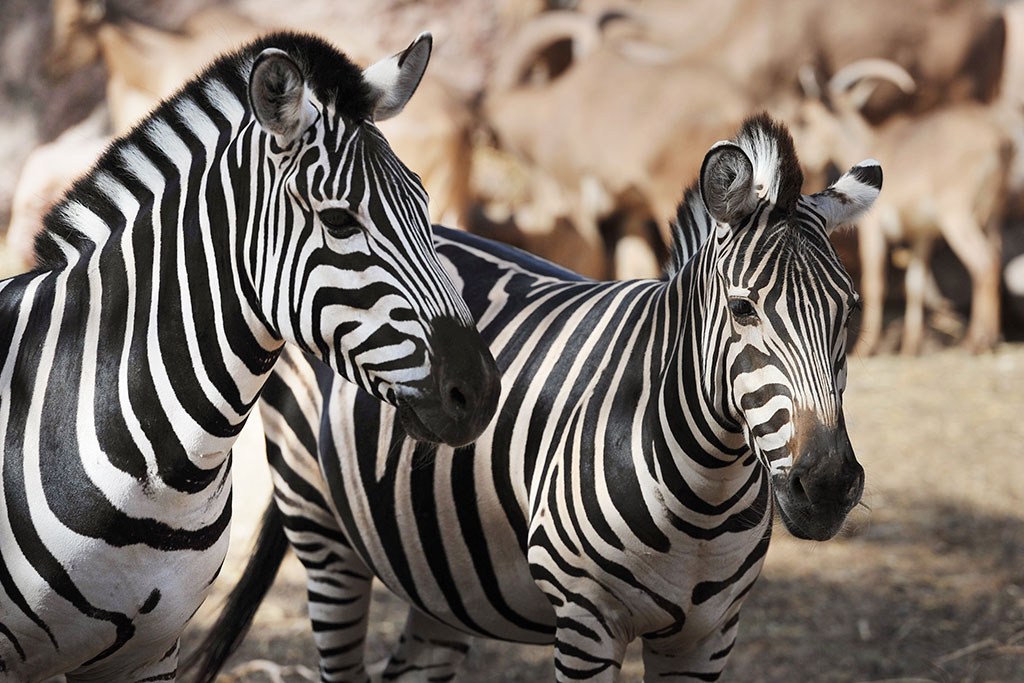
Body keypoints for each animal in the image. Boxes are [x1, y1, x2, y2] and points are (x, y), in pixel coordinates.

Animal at [190, 114, 880, 679]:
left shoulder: (707, 637)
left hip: (441, 567)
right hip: (320, 529)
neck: (705, 495)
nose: (826, 486)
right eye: (743, 310)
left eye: (848, 311)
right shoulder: (586, 621)